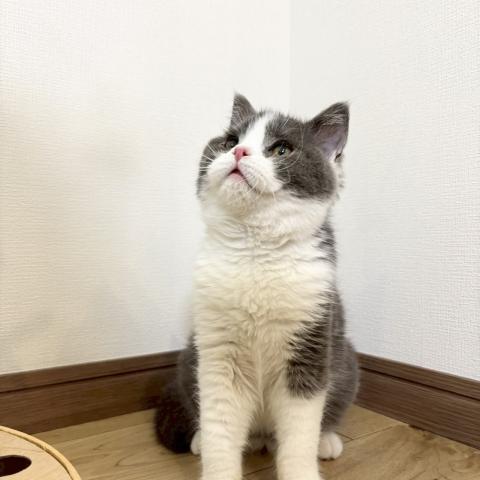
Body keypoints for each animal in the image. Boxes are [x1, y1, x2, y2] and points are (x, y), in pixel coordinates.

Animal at [155, 94, 359, 480]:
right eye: (230, 140)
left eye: (281, 149)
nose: (239, 153)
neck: (256, 250)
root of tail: (263, 436)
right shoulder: (218, 354)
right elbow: (220, 425)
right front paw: (217, 466)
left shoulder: (311, 344)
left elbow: (300, 432)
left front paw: (303, 469)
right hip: (190, 357)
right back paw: (199, 439)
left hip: (346, 359)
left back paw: (326, 441)